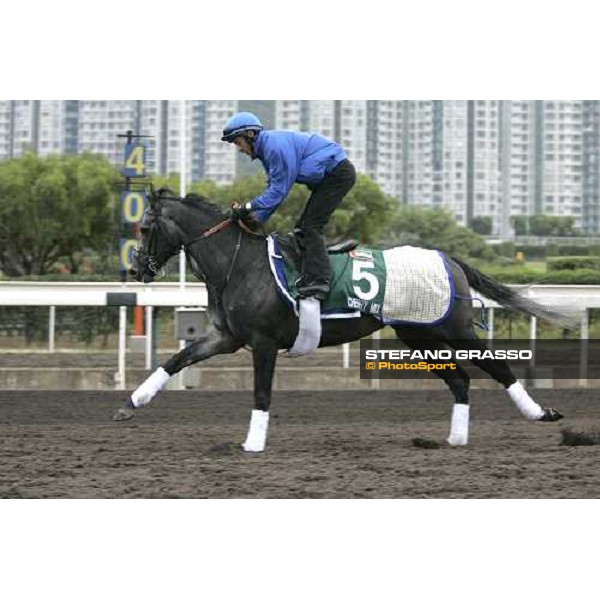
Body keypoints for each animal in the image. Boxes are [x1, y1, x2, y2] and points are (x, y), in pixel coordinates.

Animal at [113, 189, 568, 450]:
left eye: (144, 227)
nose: (136, 269)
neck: (239, 262)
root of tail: (448, 257)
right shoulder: (226, 337)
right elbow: (177, 359)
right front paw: (130, 404)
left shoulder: (263, 342)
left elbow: (261, 393)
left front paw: (253, 443)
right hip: (417, 335)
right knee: (460, 380)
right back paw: (455, 439)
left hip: (453, 329)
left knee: (496, 367)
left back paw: (541, 414)